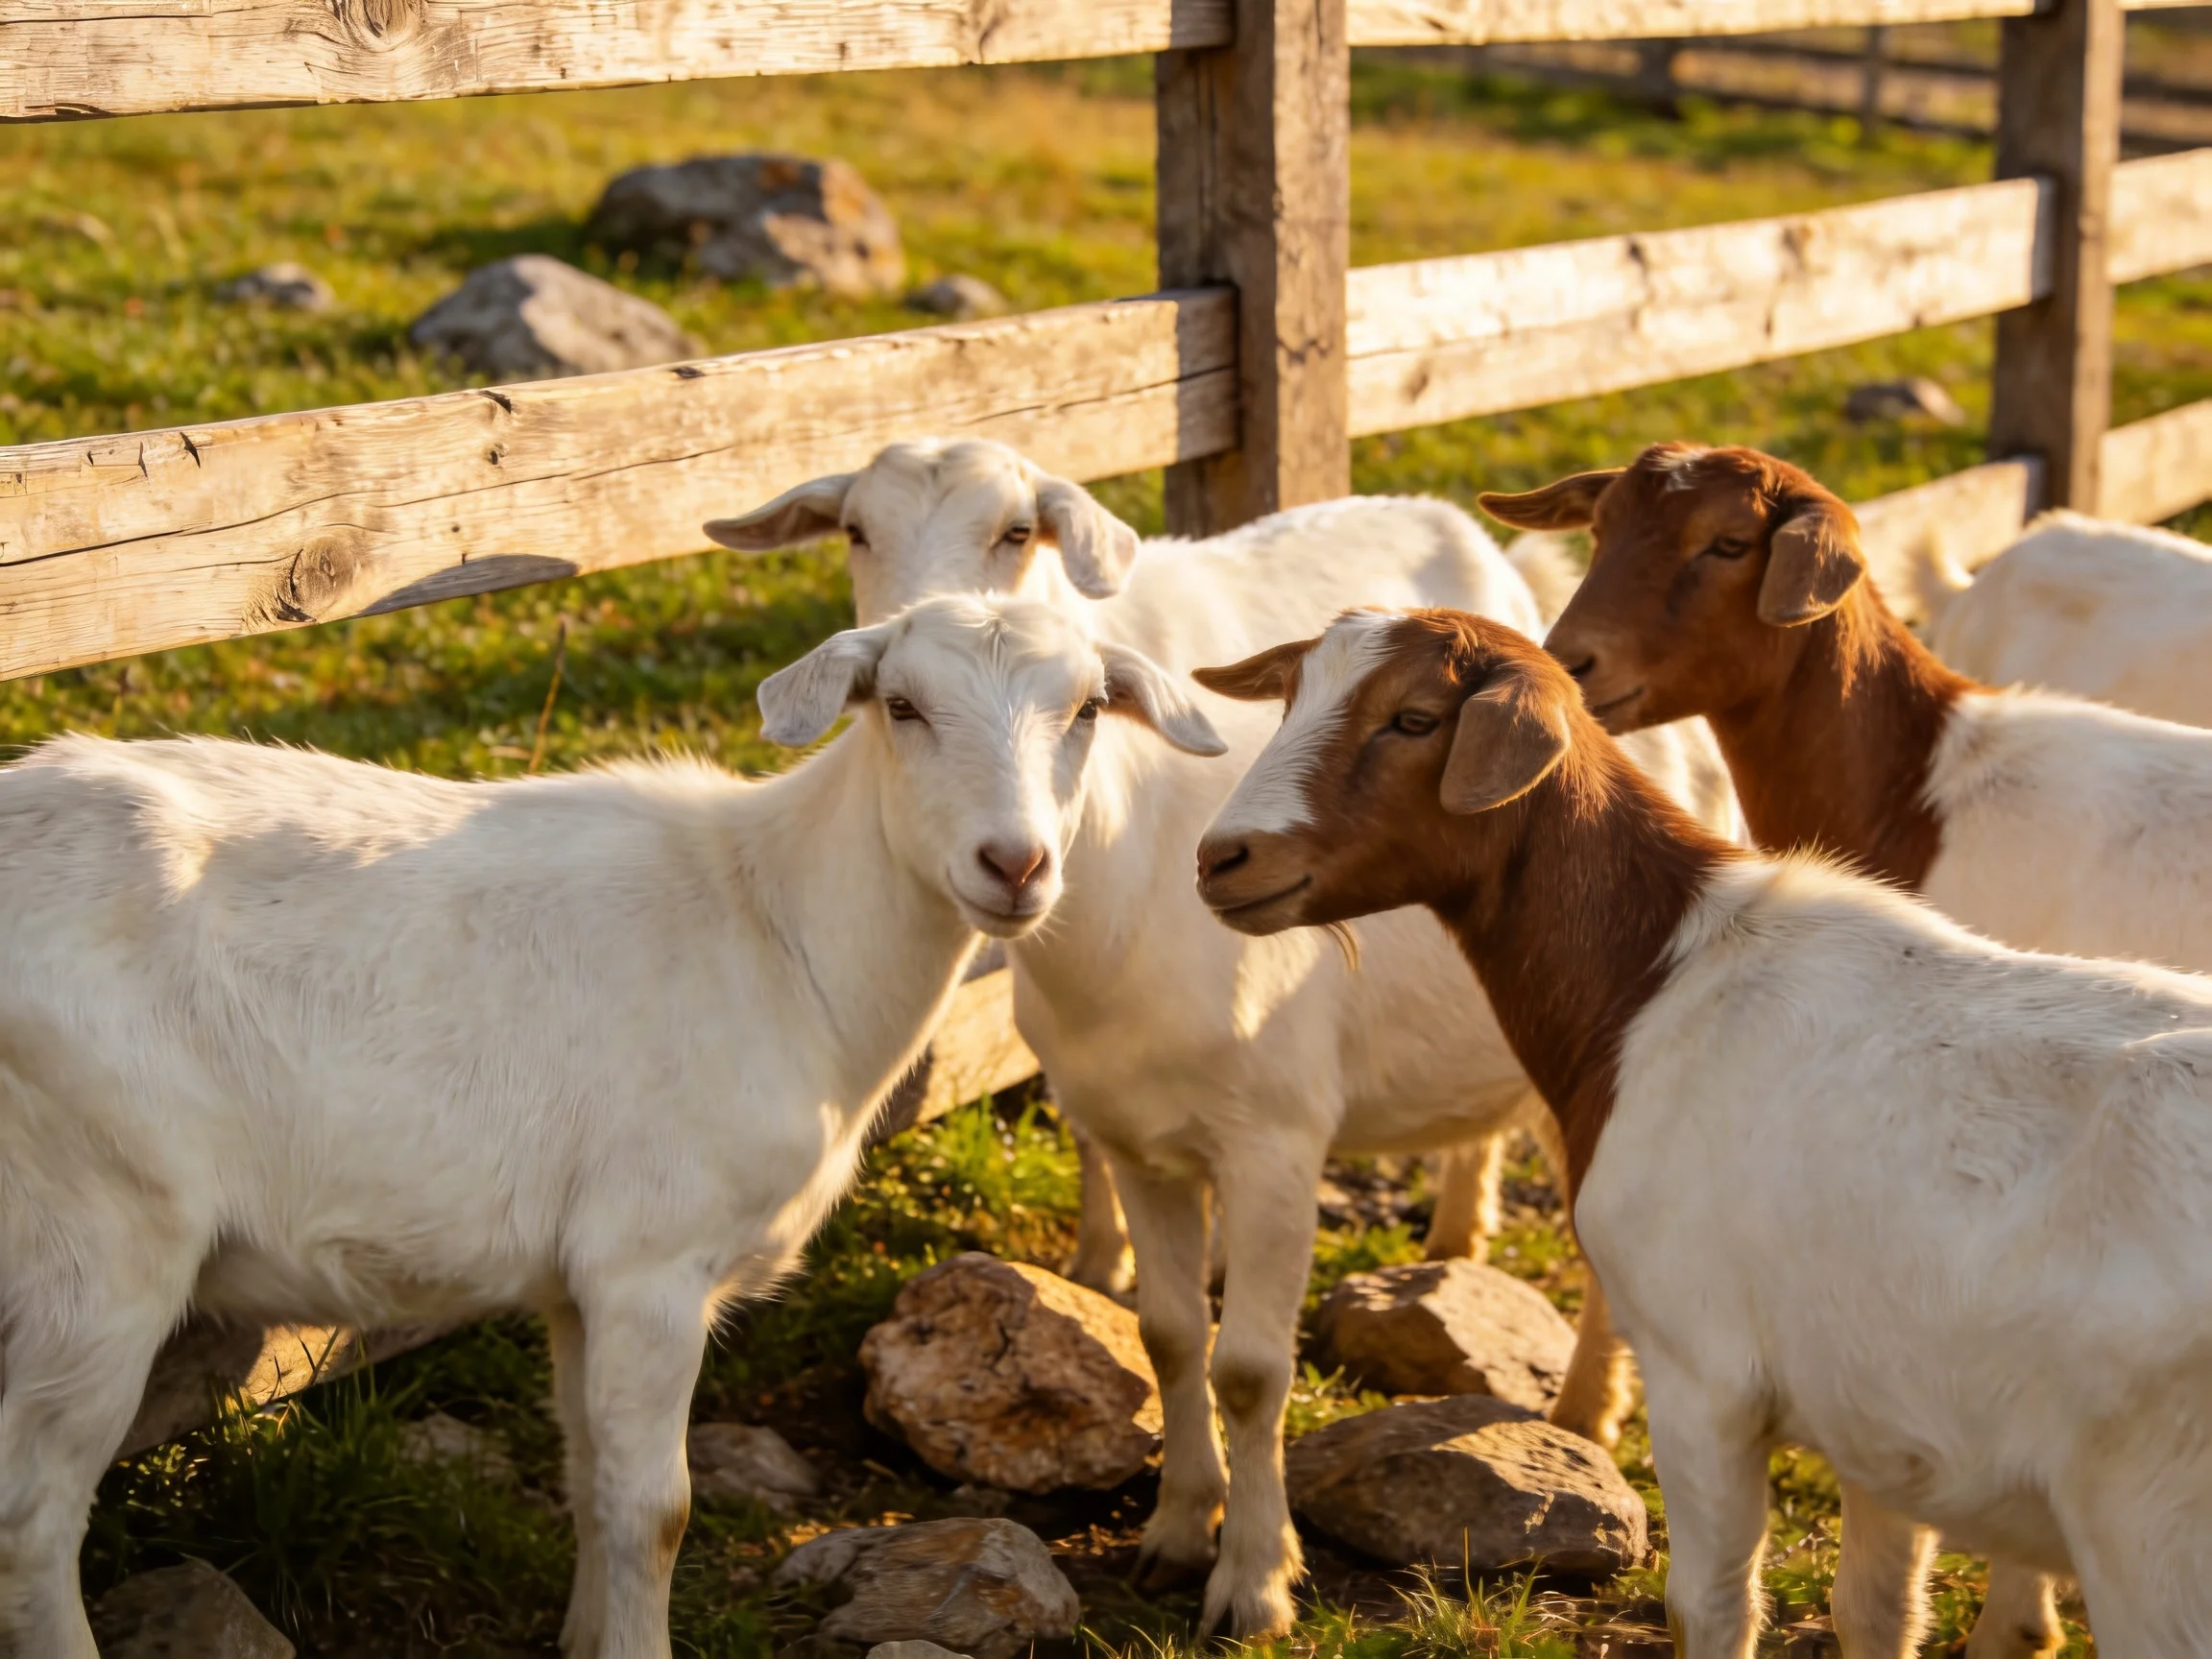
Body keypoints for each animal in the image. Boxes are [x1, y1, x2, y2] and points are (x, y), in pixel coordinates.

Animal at [0, 596, 1220, 1659]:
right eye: (904, 706)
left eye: (1088, 709)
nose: (1013, 865)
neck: (774, 924)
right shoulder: (651, 1261)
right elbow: (655, 1509)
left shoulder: (578, 1281)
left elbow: (591, 1477)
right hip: (98, 1232)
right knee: (33, 1512)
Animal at [706, 436, 1742, 1636]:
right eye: (901, 707)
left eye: (1087, 710)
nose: (1016, 865)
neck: (1127, 901)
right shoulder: (1140, 1144)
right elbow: (1169, 1337)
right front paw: (1170, 1532)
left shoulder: (1275, 1148)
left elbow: (1250, 1369)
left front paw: (1253, 1579)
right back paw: (1457, 1245)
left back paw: (1583, 1411)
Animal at [1196, 606, 2212, 1659]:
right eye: (1290, 697)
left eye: (1414, 718)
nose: (1222, 858)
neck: (1655, 977)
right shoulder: (1883, 1413)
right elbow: (1877, 1610)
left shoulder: (1700, 1374)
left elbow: (1712, 1608)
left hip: (2153, 1528)